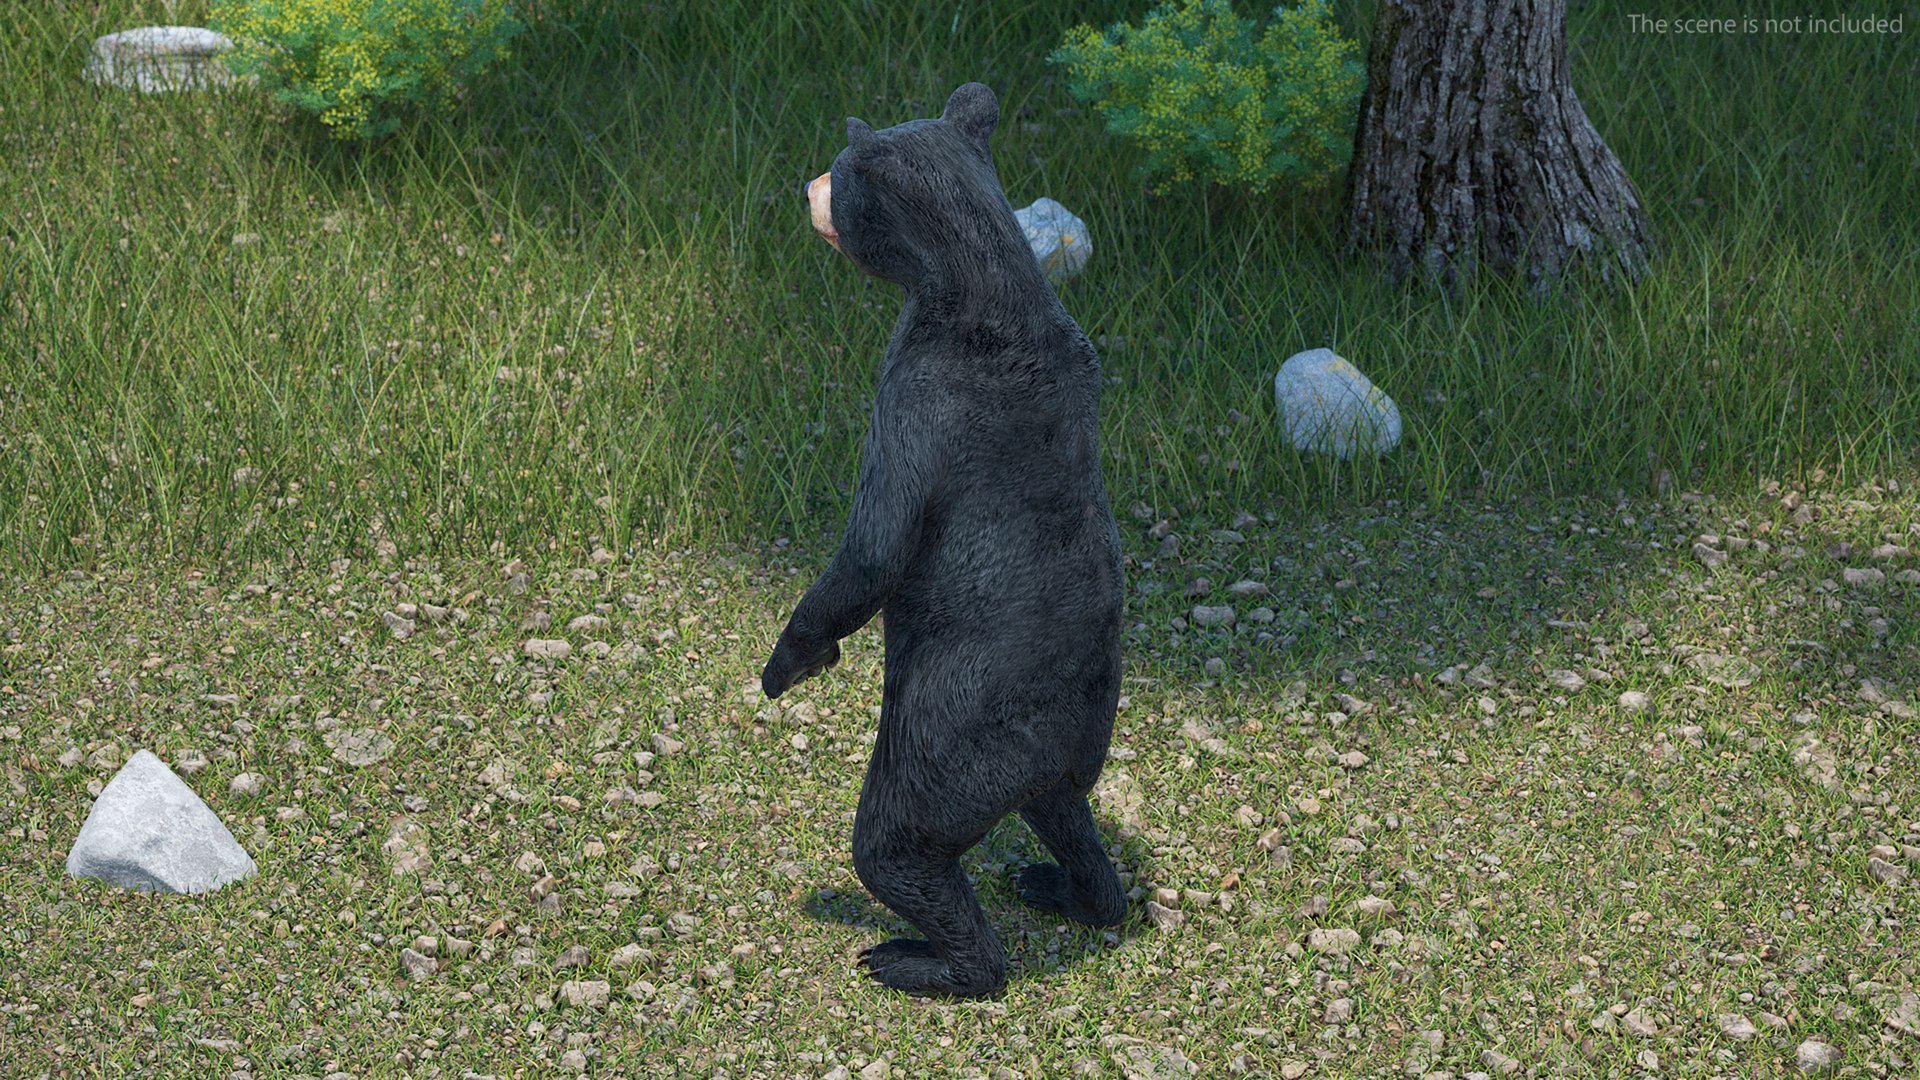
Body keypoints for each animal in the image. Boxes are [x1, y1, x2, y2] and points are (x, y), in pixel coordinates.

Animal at [761, 82, 1128, 998]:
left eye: (844, 167)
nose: (808, 185)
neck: (976, 283)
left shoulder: (918, 394)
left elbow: (876, 543)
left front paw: (788, 662)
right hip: (1067, 755)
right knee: (1068, 818)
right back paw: (1069, 889)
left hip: (943, 735)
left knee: (895, 841)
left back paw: (921, 958)